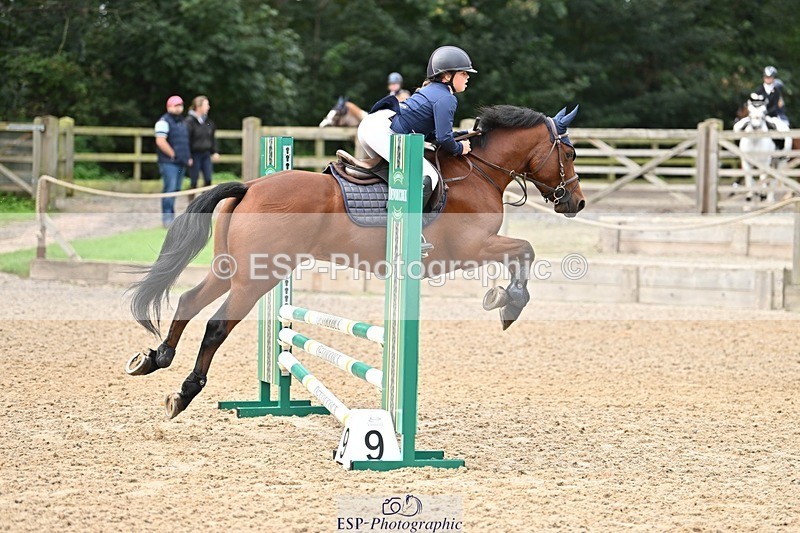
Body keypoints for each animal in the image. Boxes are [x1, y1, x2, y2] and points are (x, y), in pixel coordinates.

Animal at [127, 104, 586, 419]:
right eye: (570, 153)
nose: (577, 202)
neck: (479, 171)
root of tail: (251, 186)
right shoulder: (472, 248)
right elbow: (524, 249)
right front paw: (509, 303)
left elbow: (522, 251)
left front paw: (501, 298)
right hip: (258, 277)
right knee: (217, 326)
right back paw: (185, 392)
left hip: (233, 270)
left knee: (188, 301)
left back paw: (154, 359)